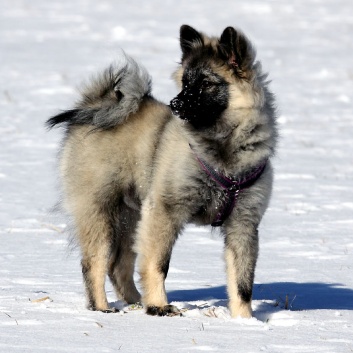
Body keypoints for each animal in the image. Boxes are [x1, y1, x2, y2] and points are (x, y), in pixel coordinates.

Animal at [47, 24, 278, 316]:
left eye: (206, 83)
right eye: (186, 83)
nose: (175, 104)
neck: (221, 151)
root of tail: (97, 105)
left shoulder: (244, 223)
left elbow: (242, 282)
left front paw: (244, 320)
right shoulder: (165, 212)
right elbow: (157, 263)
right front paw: (159, 305)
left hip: (130, 218)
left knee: (118, 265)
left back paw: (135, 301)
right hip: (100, 212)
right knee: (95, 263)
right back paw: (103, 308)